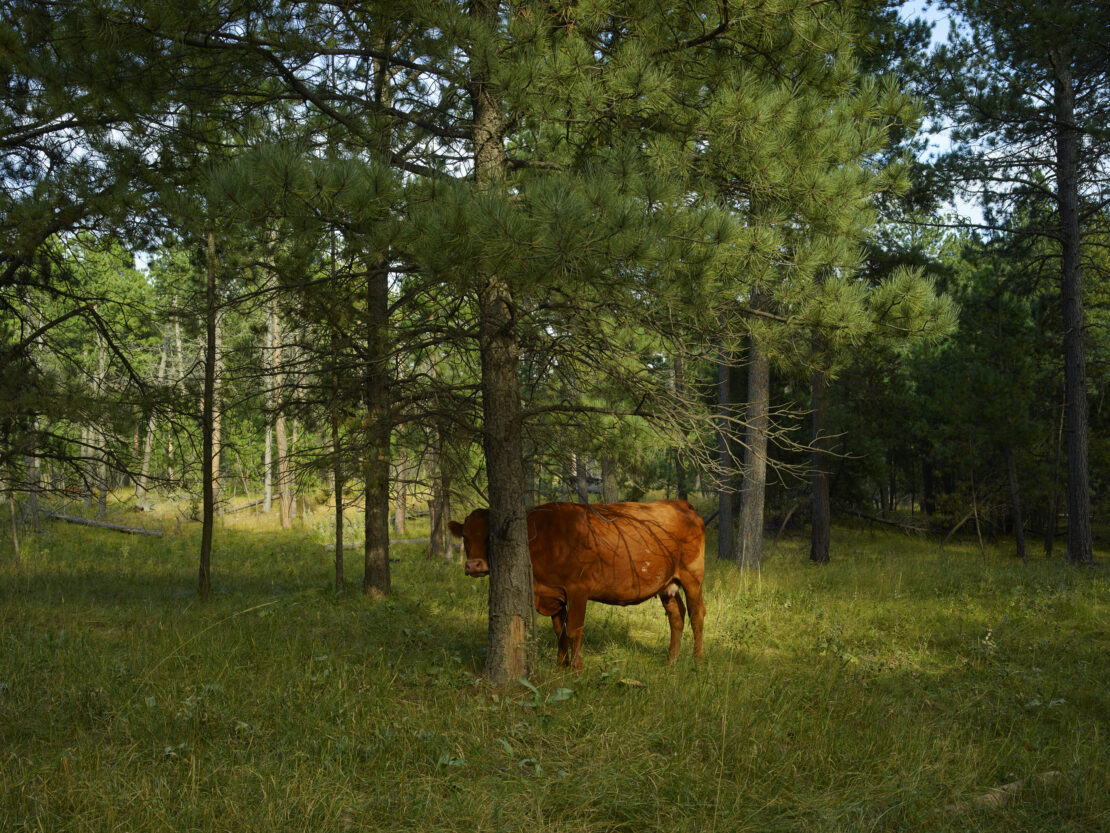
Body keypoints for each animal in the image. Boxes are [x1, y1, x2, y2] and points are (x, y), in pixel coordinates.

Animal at [448, 500, 705, 669]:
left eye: (489, 537)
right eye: (465, 537)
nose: (474, 565)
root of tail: (680, 503)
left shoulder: (578, 590)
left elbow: (573, 630)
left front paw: (576, 668)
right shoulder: (553, 594)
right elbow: (559, 630)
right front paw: (560, 665)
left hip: (692, 575)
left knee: (697, 614)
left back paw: (697, 660)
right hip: (667, 584)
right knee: (676, 616)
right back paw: (671, 660)